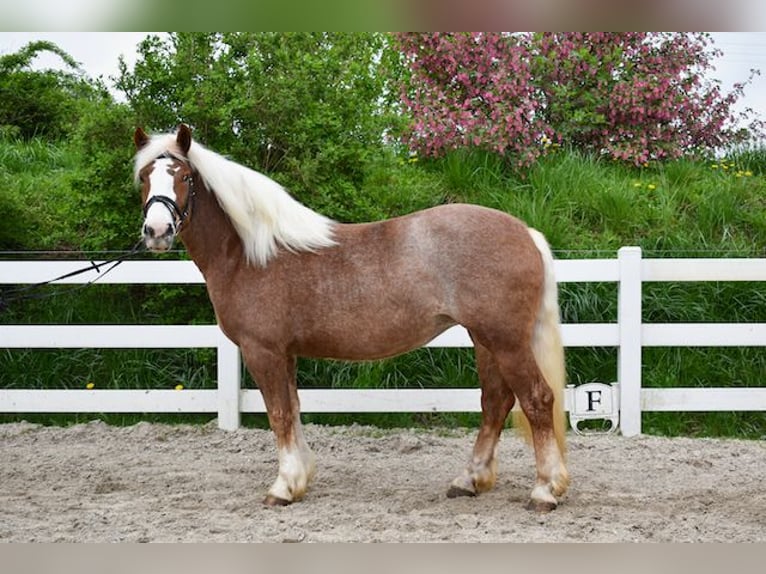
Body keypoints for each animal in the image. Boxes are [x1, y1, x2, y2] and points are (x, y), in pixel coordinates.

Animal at [134, 125, 568, 512]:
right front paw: (300, 479)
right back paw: (469, 480)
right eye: (144, 177)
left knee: (537, 399)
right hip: (485, 339)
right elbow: (292, 409)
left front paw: (283, 487)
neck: (250, 255)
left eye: (185, 176)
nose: (156, 230)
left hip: (505, 340)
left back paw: (545, 490)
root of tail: (526, 233)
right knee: (495, 401)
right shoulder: (286, 354)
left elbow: (278, 414)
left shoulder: (263, 351)